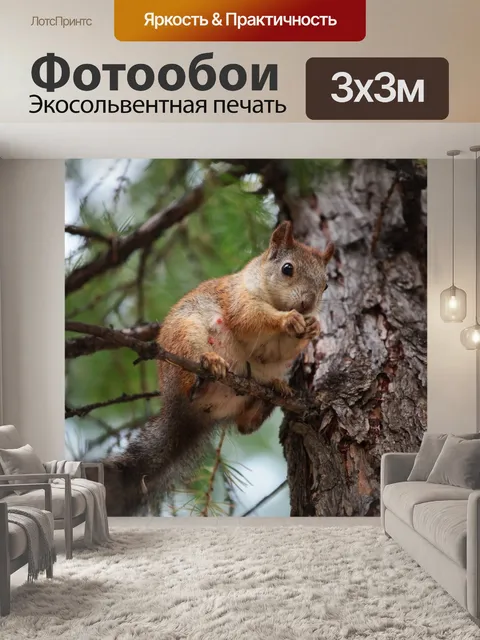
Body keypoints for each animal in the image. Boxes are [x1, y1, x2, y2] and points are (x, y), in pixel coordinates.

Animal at [102, 221, 334, 515]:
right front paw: (287, 319)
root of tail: (183, 411)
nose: (307, 304)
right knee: (193, 376)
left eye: (326, 285)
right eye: (287, 269)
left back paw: (273, 392)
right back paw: (208, 368)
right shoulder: (238, 299)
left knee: (246, 425)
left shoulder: (279, 350)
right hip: (185, 337)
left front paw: (312, 326)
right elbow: (251, 318)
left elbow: (279, 351)